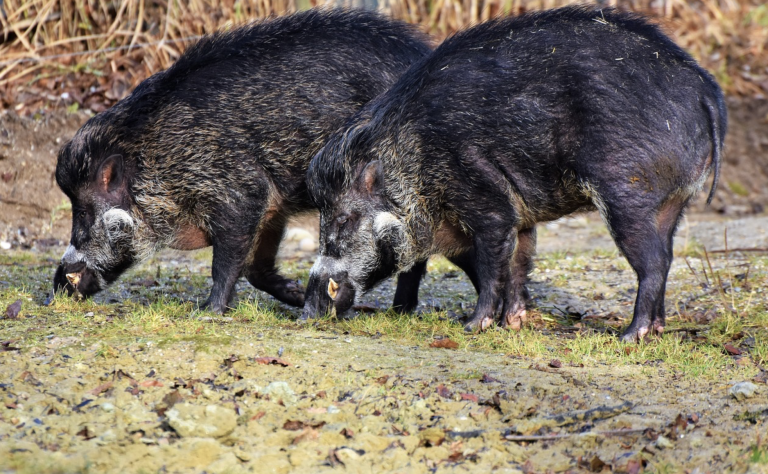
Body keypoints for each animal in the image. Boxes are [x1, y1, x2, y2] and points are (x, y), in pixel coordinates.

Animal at [300, 6, 728, 340]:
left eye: (344, 218)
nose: (306, 311)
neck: (411, 162)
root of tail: (705, 88)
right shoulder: (520, 217)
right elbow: (519, 263)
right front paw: (513, 323)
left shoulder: (486, 199)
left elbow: (493, 265)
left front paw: (473, 326)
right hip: (674, 201)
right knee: (667, 255)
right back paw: (656, 329)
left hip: (628, 192)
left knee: (653, 262)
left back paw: (630, 335)